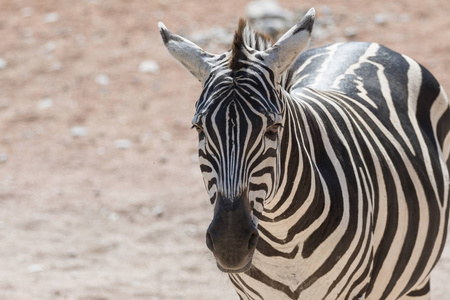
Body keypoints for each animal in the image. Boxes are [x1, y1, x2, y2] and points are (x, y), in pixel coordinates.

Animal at [158, 8, 446, 298]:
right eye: (199, 129)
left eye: (273, 128)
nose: (230, 245)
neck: (284, 240)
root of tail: (363, 43)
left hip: (417, 282)